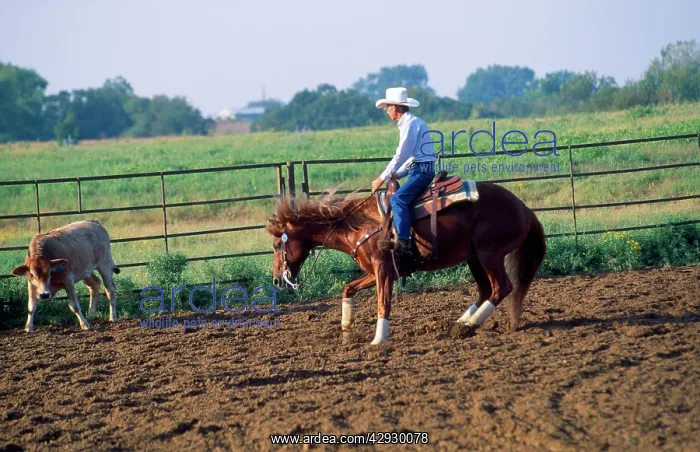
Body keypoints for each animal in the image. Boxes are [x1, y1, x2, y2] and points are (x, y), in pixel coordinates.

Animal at [265, 181, 546, 345]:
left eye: (277, 245)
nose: (278, 280)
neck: (360, 224)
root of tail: (524, 209)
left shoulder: (383, 270)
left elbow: (383, 303)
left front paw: (378, 340)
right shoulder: (377, 271)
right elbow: (348, 289)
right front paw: (346, 329)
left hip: (489, 253)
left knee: (502, 287)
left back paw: (469, 324)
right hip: (474, 257)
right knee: (487, 289)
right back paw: (461, 323)